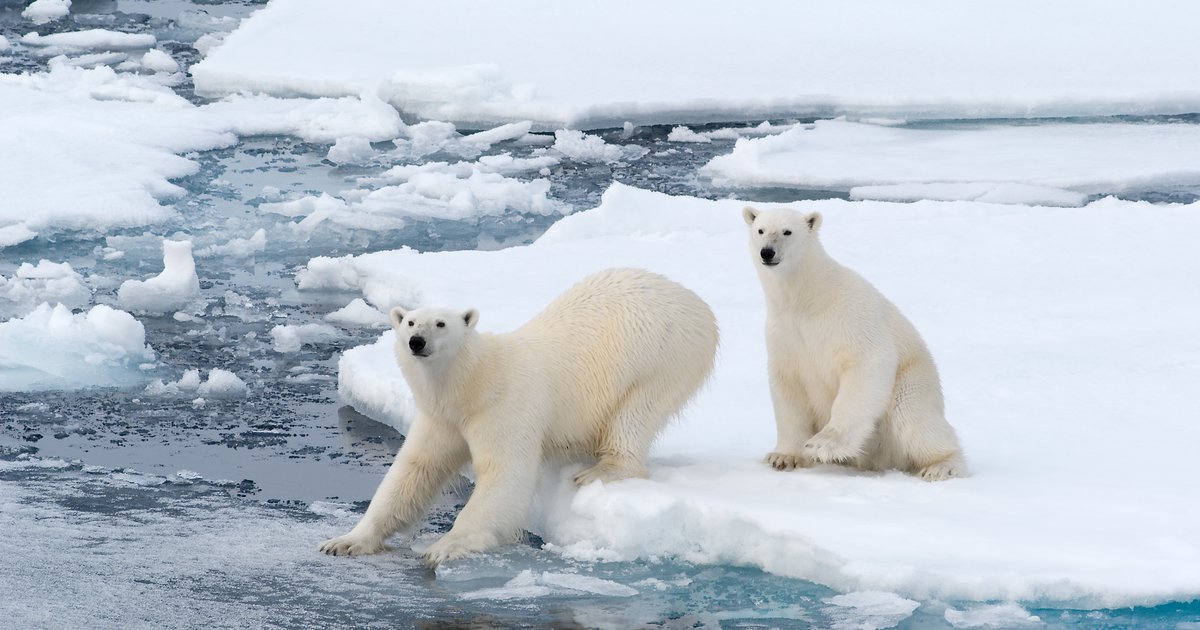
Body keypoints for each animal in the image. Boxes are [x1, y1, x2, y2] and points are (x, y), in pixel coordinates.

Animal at [314, 265, 715, 564]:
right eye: (410, 322)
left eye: (441, 323)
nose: (417, 342)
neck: (474, 384)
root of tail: (696, 301)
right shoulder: (442, 417)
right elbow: (412, 472)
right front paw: (345, 541)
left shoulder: (503, 407)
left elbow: (504, 474)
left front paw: (443, 547)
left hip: (665, 353)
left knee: (636, 412)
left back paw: (602, 469)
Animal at [739, 204, 964, 480]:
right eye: (760, 229)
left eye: (787, 231)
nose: (767, 252)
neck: (806, 297)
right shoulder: (785, 333)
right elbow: (788, 388)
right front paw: (783, 456)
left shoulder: (847, 315)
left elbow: (867, 361)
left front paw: (823, 444)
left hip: (911, 384)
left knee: (915, 421)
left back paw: (940, 465)